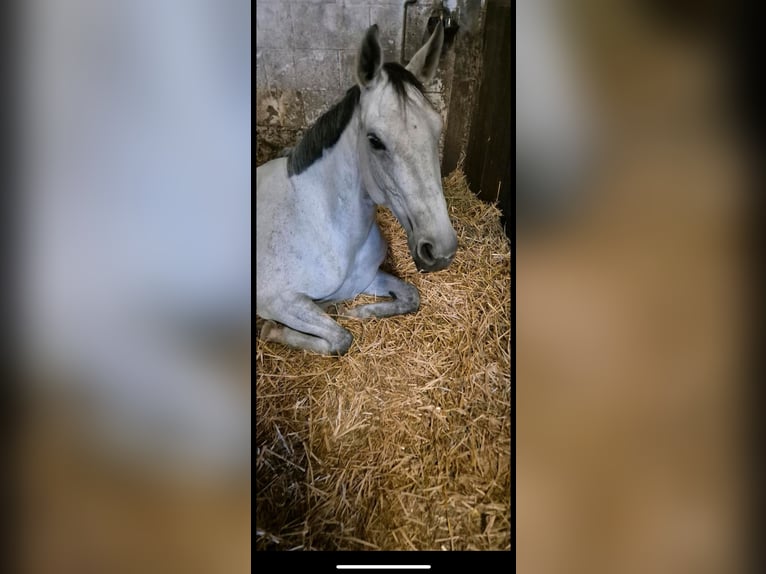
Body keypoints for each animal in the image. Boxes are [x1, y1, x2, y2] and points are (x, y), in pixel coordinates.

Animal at [255, 24, 460, 358]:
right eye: (374, 140)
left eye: (438, 128)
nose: (440, 251)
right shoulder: (278, 300)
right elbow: (340, 338)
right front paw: (273, 329)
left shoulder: (367, 276)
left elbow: (411, 296)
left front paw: (359, 312)